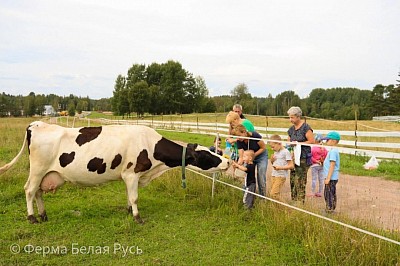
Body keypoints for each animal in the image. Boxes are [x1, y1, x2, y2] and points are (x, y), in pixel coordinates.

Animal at [0, 121, 228, 223]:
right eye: (209, 155)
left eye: (215, 150)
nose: (227, 162)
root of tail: (36, 124)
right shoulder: (131, 173)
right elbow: (135, 197)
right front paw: (137, 217)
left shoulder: (129, 176)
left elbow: (129, 195)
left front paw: (128, 211)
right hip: (37, 170)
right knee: (29, 190)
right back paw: (32, 217)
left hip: (45, 173)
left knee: (38, 192)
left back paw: (43, 214)